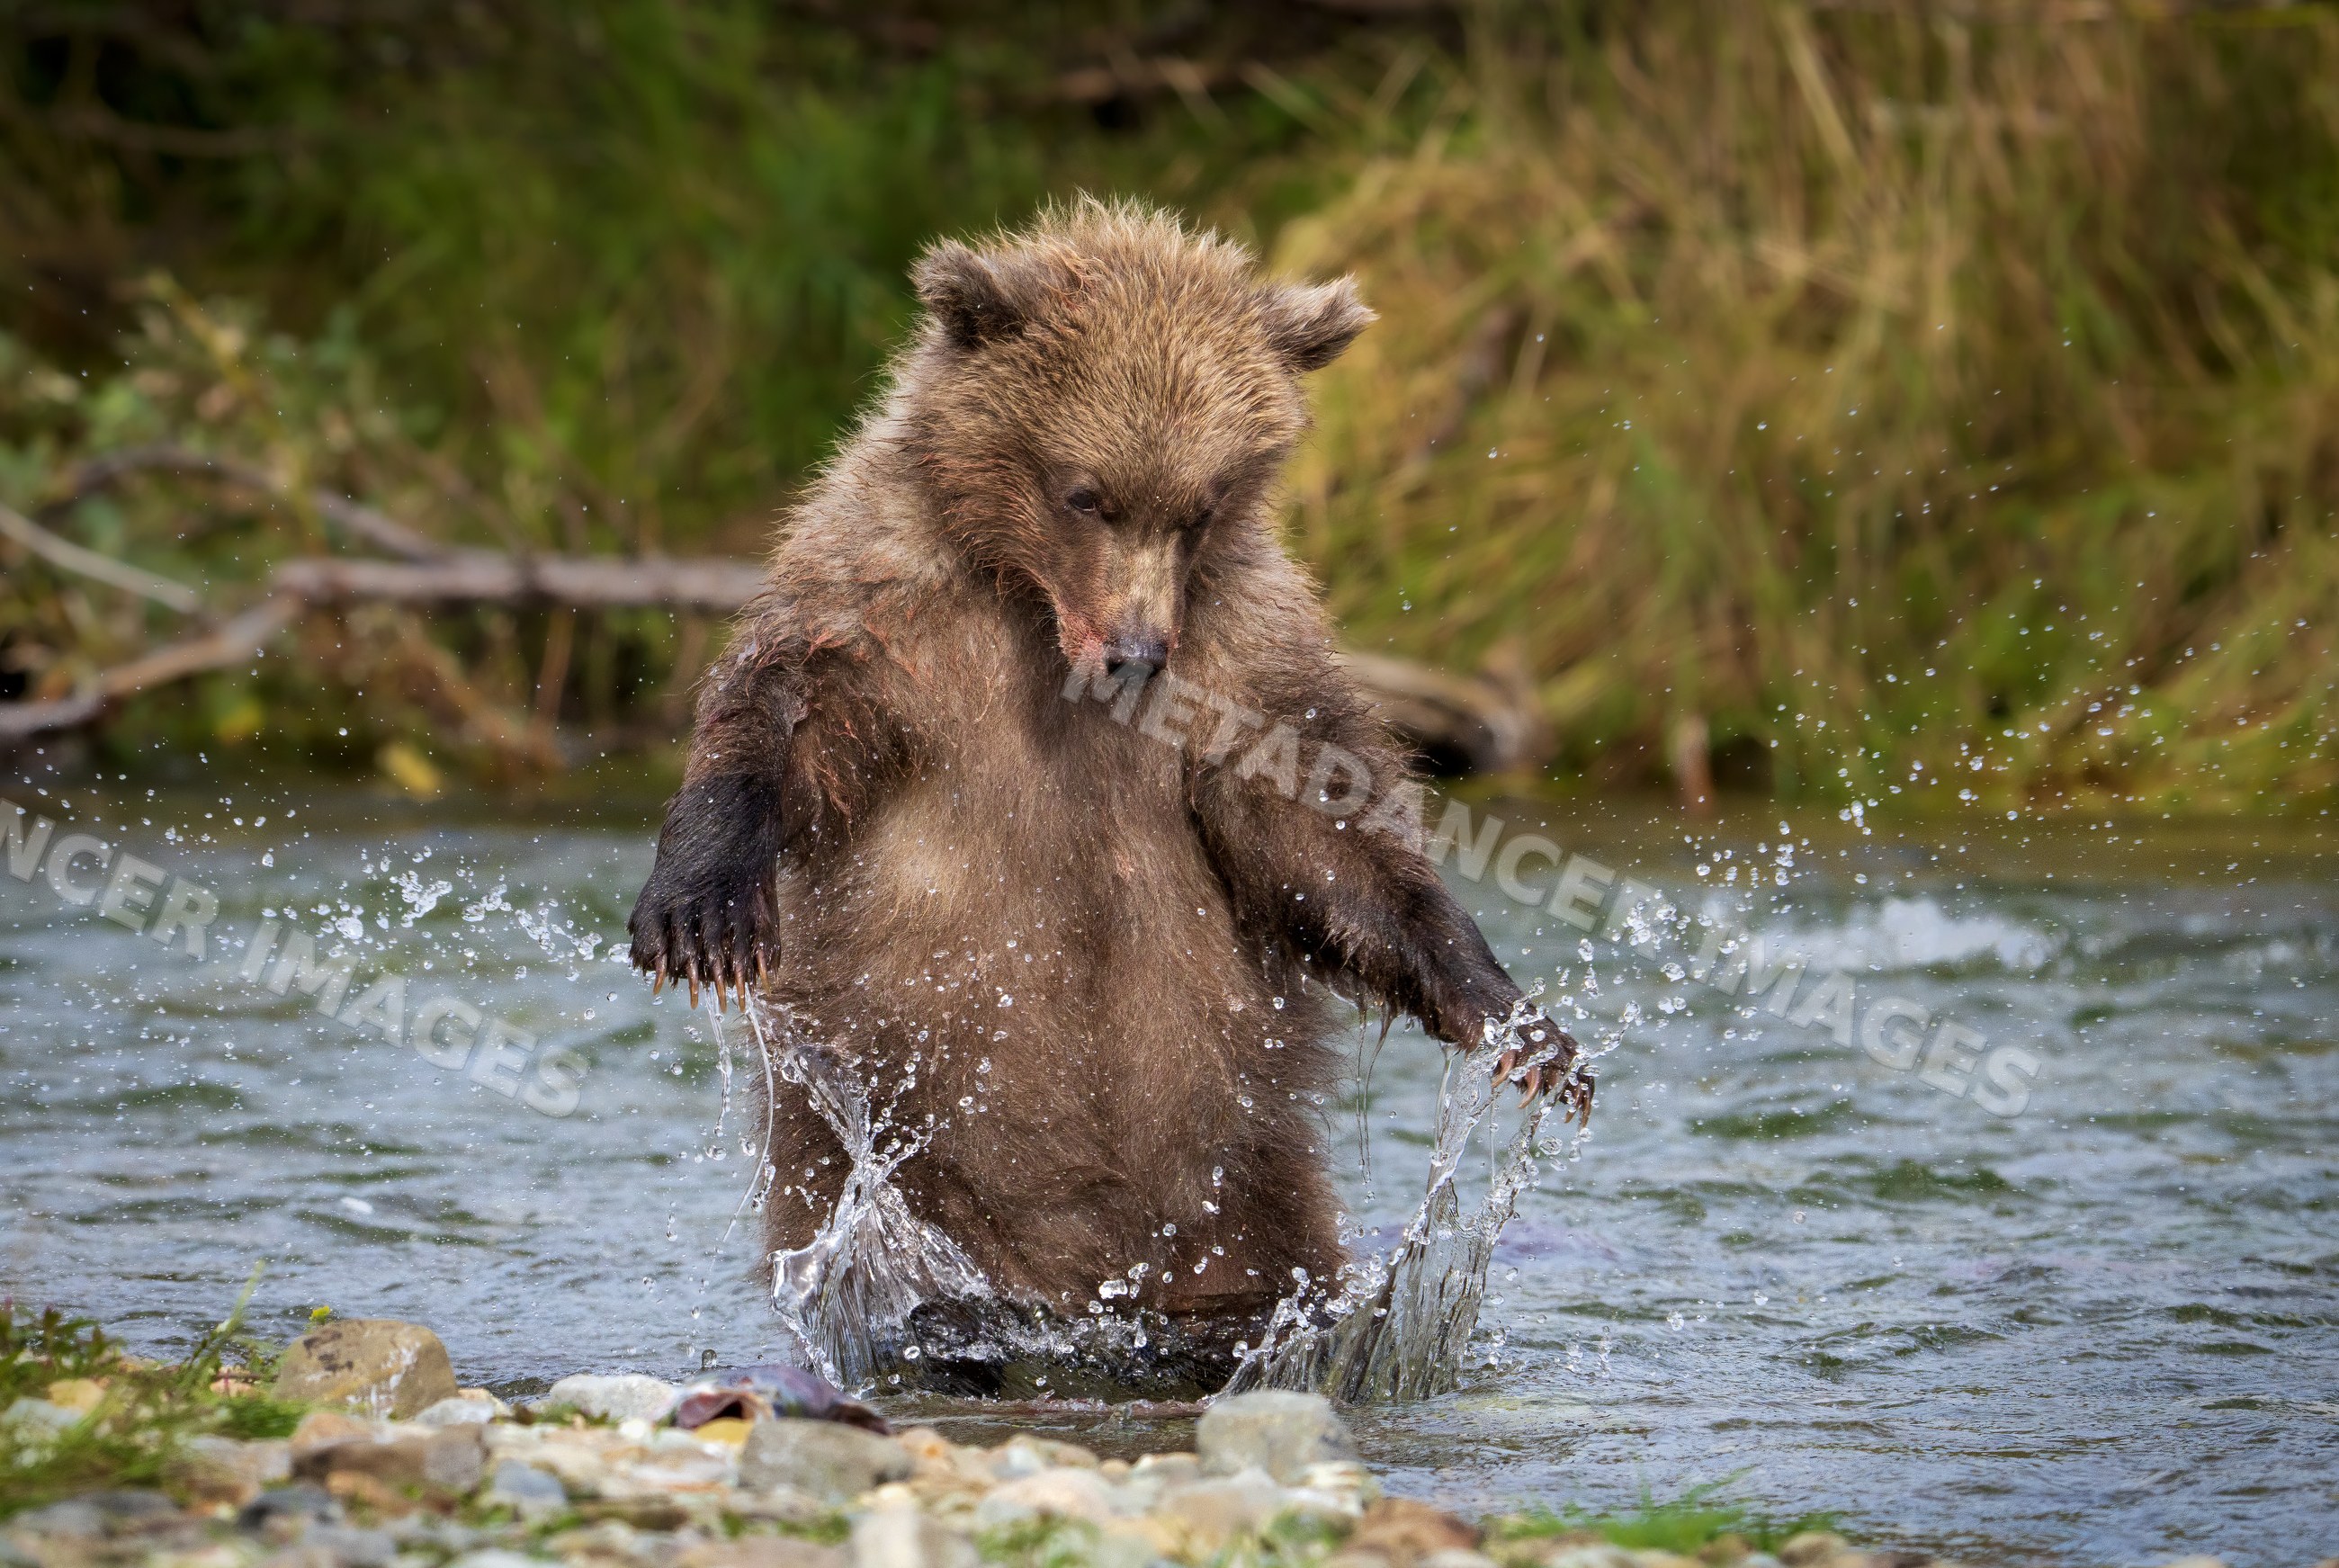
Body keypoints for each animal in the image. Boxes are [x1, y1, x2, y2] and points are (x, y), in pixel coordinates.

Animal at [627, 198, 1586, 1389]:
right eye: (1083, 492)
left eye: (1201, 505)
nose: (1135, 652)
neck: (1027, 600)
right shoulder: (893, 613)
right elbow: (790, 711)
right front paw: (702, 907)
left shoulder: (1236, 649)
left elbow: (1319, 829)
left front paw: (1516, 1022)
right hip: (869, 1145)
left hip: (1239, 1183)